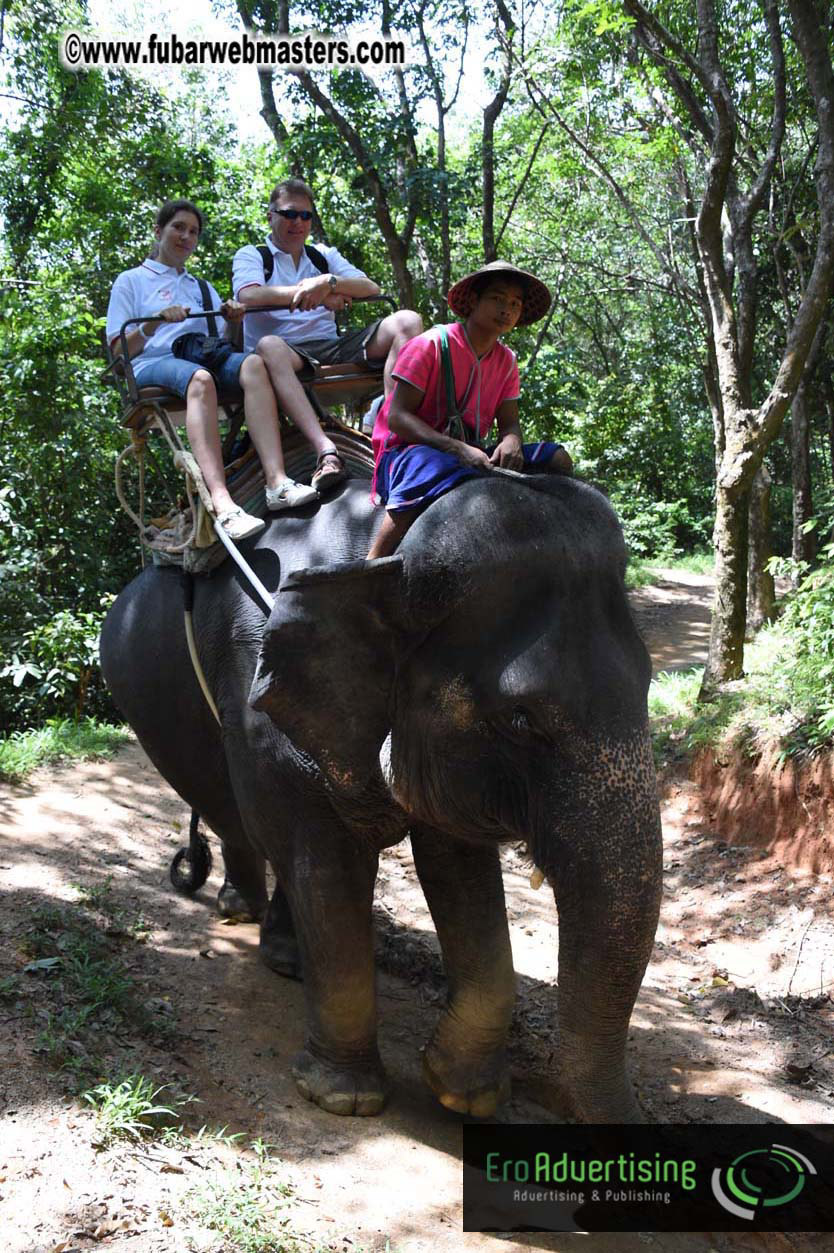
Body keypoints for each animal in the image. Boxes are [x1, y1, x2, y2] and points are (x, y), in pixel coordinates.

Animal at [100, 465, 662, 1123]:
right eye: (521, 719)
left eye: (648, 683)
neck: (387, 554)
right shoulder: (266, 700)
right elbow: (325, 861)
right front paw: (343, 1098)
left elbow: (457, 867)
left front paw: (463, 1092)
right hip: (159, 709)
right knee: (236, 814)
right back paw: (240, 913)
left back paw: (287, 958)